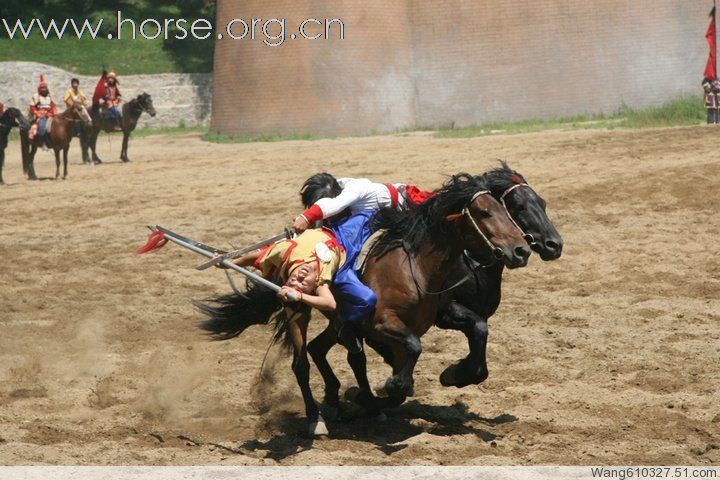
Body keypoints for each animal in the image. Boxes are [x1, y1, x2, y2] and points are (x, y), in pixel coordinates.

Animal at [436, 163, 564, 388]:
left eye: (543, 203)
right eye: (518, 206)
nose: (555, 245)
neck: (471, 265)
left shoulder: (479, 315)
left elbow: (479, 347)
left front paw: (458, 370)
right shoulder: (446, 310)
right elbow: (479, 330)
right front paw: (452, 374)